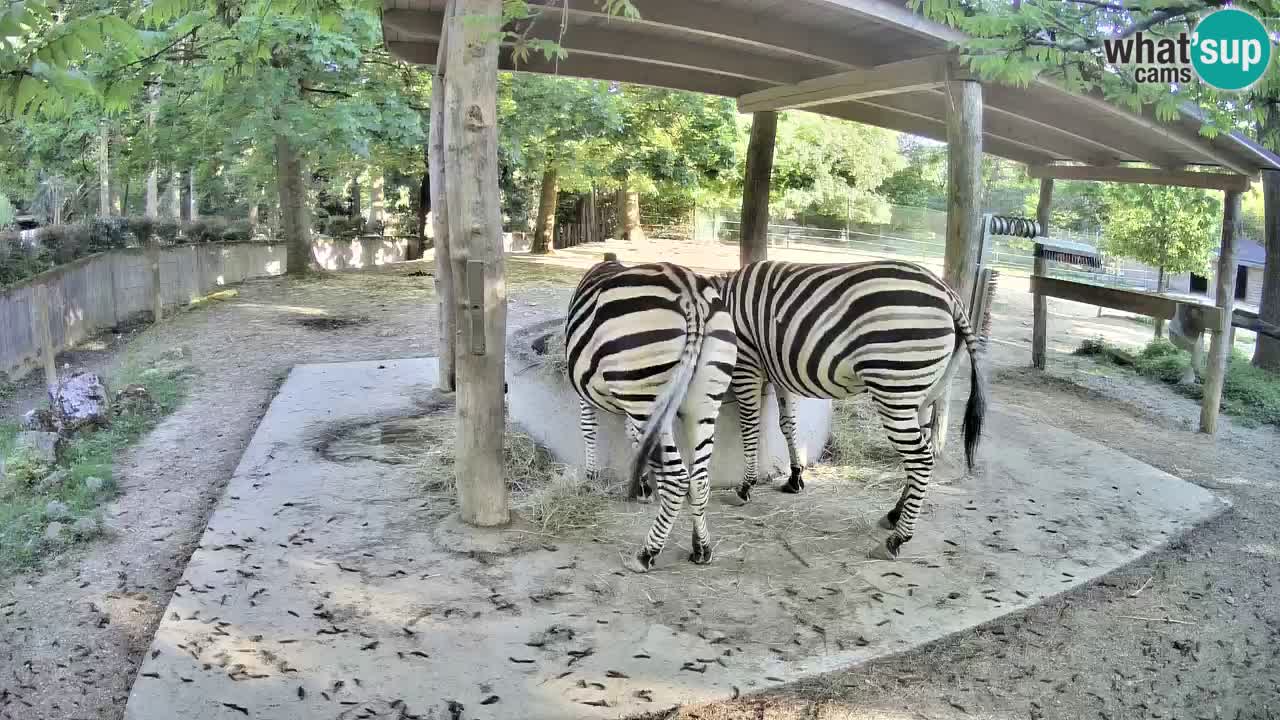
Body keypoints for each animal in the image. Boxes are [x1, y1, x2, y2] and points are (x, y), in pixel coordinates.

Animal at [565, 258, 737, 572]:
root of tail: (688, 289)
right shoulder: (631, 405)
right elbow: (637, 442)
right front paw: (644, 485)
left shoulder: (586, 393)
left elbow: (589, 428)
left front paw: (591, 477)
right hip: (702, 402)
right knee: (699, 479)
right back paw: (702, 548)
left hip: (644, 393)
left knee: (678, 478)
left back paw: (646, 553)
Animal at [708, 259, 986, 560]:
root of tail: (950, 296)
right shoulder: (778, 368)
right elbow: (787, 424)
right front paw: (795, 477)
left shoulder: (747, 362)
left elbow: (750, 425)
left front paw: (745, 487)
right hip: (926, 391)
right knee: (922, 454)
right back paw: (894, 515)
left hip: (895, 387)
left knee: (920, 459)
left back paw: (897, 539)